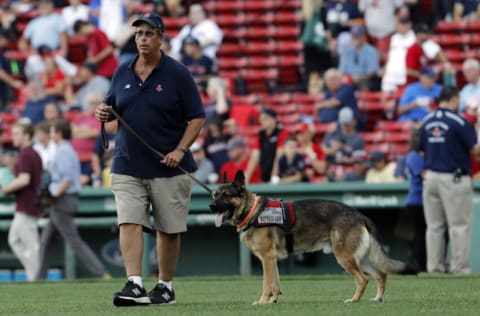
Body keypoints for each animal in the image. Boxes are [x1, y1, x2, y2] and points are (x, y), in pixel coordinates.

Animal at [210, 172, 416, 304]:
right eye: (215, 194)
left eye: (226, 195)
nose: (211, 206)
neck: (252, 211)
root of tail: (358, 214)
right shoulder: (272, 259)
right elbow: (275, 283)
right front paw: (273, 300)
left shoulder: (267, 258)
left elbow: (266, 283)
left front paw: (262, 302)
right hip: (361, 257)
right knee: (381, 274)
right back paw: (378, 298)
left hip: (344, 257)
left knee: (363, 279)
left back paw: (354, 300)